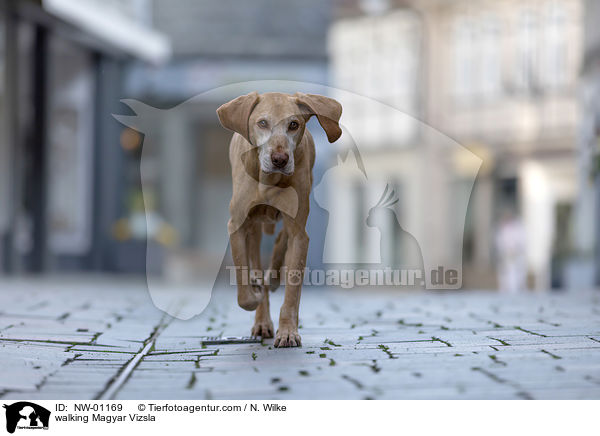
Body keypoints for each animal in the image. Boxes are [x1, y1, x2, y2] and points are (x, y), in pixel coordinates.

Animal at [218, 91, 342, 348]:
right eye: (262, 123)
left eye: (293, 124)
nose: (280, 159)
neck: (269, 180)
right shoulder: (237, 225)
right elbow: (243, 284)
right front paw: (253, 293)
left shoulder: (299, 232)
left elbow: (293, 289)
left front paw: (287, 332)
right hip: (253, 228)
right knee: (255, 256)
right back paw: (261, 318)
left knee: (282, 241)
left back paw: (273, 278)